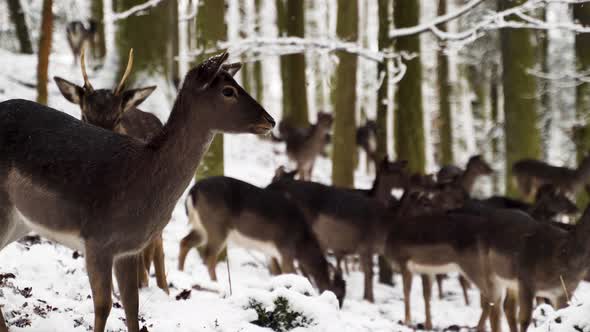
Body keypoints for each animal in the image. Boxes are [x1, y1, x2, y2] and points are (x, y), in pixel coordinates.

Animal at [178, 175, 350, 308]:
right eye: (339, 294)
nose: (339, 307)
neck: (300, 239)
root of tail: (193, 191)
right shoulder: (285, 249)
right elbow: (290, 273)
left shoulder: (270, 253)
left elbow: (276, 274)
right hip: (217, 226)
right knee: (209, 255)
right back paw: (217, 284)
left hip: (201, 227)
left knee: (185, 242)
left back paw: (179, 273)